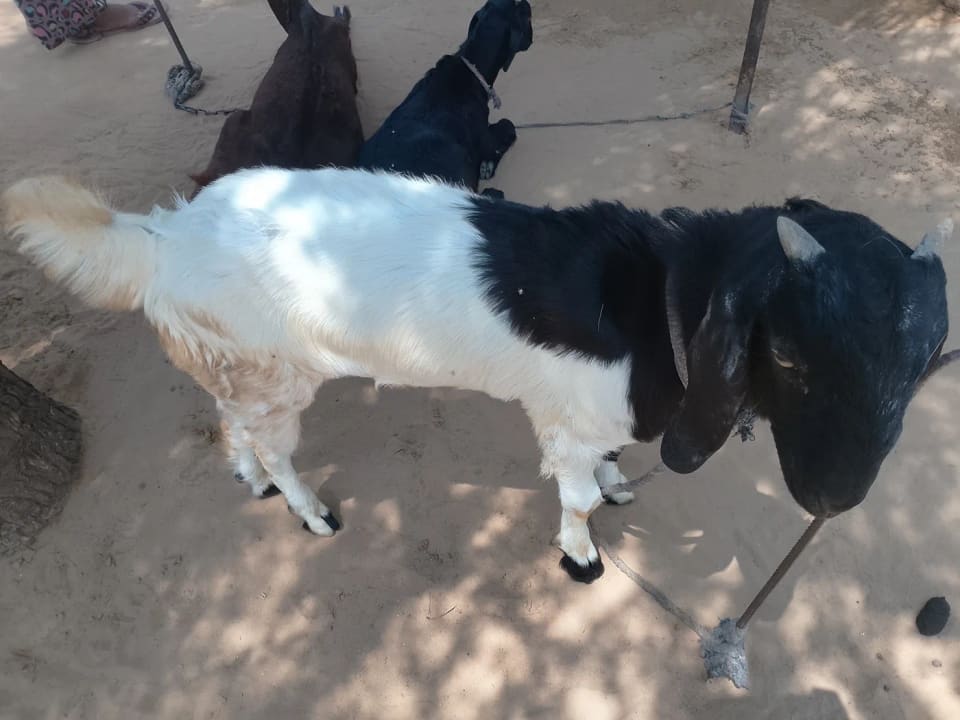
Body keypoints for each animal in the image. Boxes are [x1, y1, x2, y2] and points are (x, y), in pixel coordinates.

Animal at [2, 170, 950, 584]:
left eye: (924, 362)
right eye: (787, 353)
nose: (835, 499)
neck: (664, 299)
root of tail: (161, 238)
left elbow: (605, 474)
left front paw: (620, 486)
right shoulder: (569, 421)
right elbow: (574, 498)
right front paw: (581, 554)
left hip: (247, 364)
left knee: (234, 421)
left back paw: (250, 477)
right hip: (278, 377)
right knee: (274, 445)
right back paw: (307, 510)